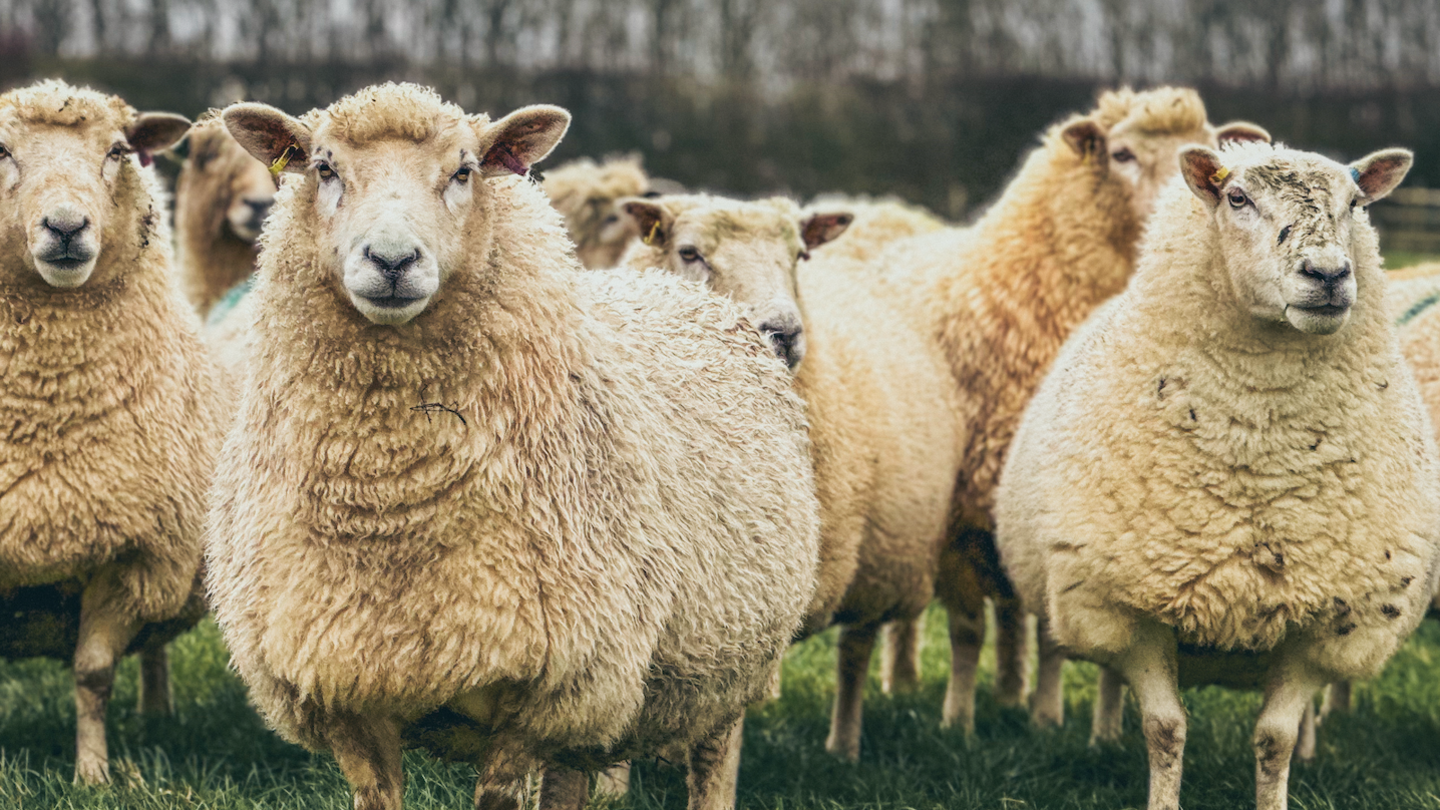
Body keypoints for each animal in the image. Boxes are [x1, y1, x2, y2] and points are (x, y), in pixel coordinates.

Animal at [0, 80, 224, 784]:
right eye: (1, 151)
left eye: (118, 151)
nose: (67, 227)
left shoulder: (134, 554)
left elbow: (93, 674)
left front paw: (92, 777)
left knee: (154, 647)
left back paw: (157, 715)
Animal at [996, 140, 1434, 807]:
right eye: (1237, 198)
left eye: (1356, 203)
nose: (1328, 275)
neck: (1260, 455)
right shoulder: (1135, 606)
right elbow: (1164, 729)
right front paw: (1161, 799)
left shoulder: (1322, 621)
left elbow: (1275, 738)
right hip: (1090, 589)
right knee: (1108, 677)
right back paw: (1102, 739)